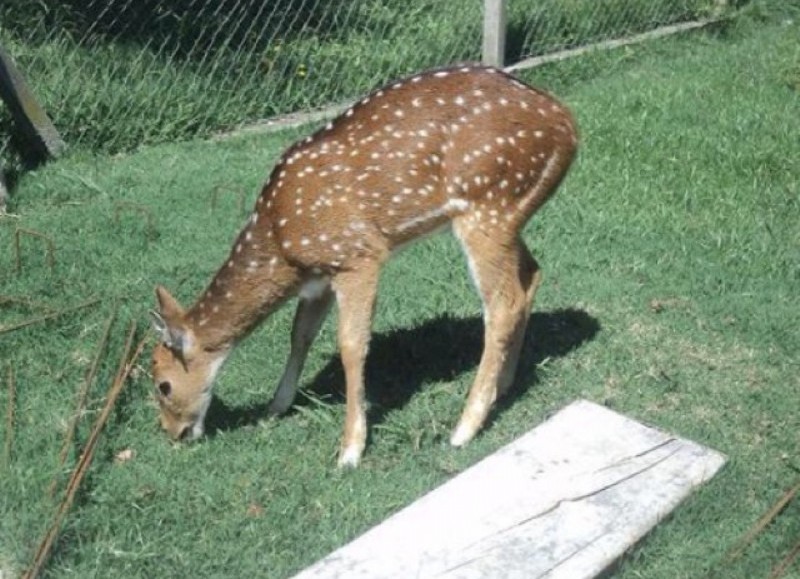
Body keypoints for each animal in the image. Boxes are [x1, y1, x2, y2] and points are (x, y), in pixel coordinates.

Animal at [152, 65, 576, 468]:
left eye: (161, 384)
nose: (174, 434)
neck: (281, 242)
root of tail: (567, 125)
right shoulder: (318, 278)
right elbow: (300, 334)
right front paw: (276, 407)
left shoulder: (357, 255)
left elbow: (351, 344)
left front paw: (351, 450)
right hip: (508, 215)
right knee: (530, 276)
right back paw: (503, 386)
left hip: (487, 203)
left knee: (502, 303)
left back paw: (465, 427)